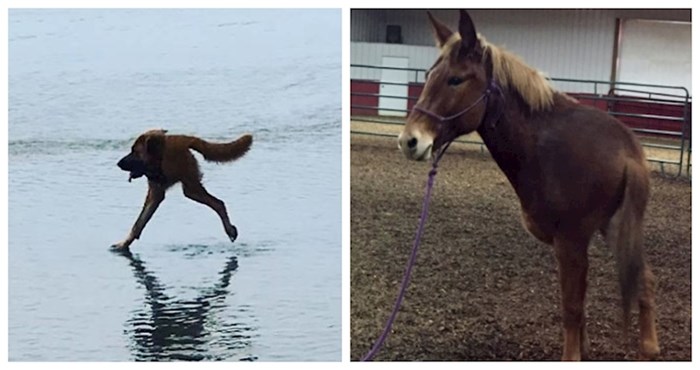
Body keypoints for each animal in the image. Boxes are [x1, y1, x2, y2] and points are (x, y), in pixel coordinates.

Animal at [109, 129, 252, 249]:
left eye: (135, 151)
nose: (118, 163)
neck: (159, 158)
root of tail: (183, 138)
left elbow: (139, 222)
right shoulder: (155, 194)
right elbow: (139, 223)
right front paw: (124, 244)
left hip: (191, 188)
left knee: (218, 203)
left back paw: (229, 230)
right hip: (190, 189)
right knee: (218, 203)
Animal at [400, 10, 660, 360]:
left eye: (456, 79)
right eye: (429, 75)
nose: (410, 140)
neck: (539, 143)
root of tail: (628, 151)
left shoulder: (570, 241)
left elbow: (572, 306)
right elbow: (581, 302)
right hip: (618, 227)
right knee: (644, 277)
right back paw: (650, 347)